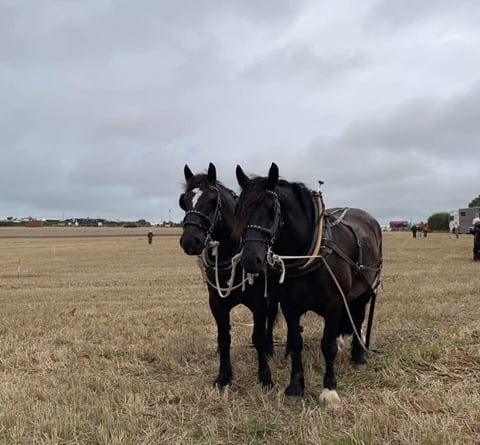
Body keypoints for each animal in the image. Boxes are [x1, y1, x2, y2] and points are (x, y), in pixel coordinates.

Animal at [179, 163, 278, 388]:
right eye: (184, 201)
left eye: (212, 200)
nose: (189, 241)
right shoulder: (217, 303)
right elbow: (224, 338)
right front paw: (224, 376)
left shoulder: (260, 302)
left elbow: (258, 336)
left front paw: (265, 376)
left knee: (271, 317)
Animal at [232, 161, 382, 404]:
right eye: (239, 209)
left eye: (271, 209)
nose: (250, 260)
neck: (311, 251)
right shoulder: (289, 306)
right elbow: (295, 344)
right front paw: (295, 387)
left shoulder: (333, 304)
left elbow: (327, 346)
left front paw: (329, 389)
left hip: (365, 289)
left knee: (358, 317)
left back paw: (359, 356)